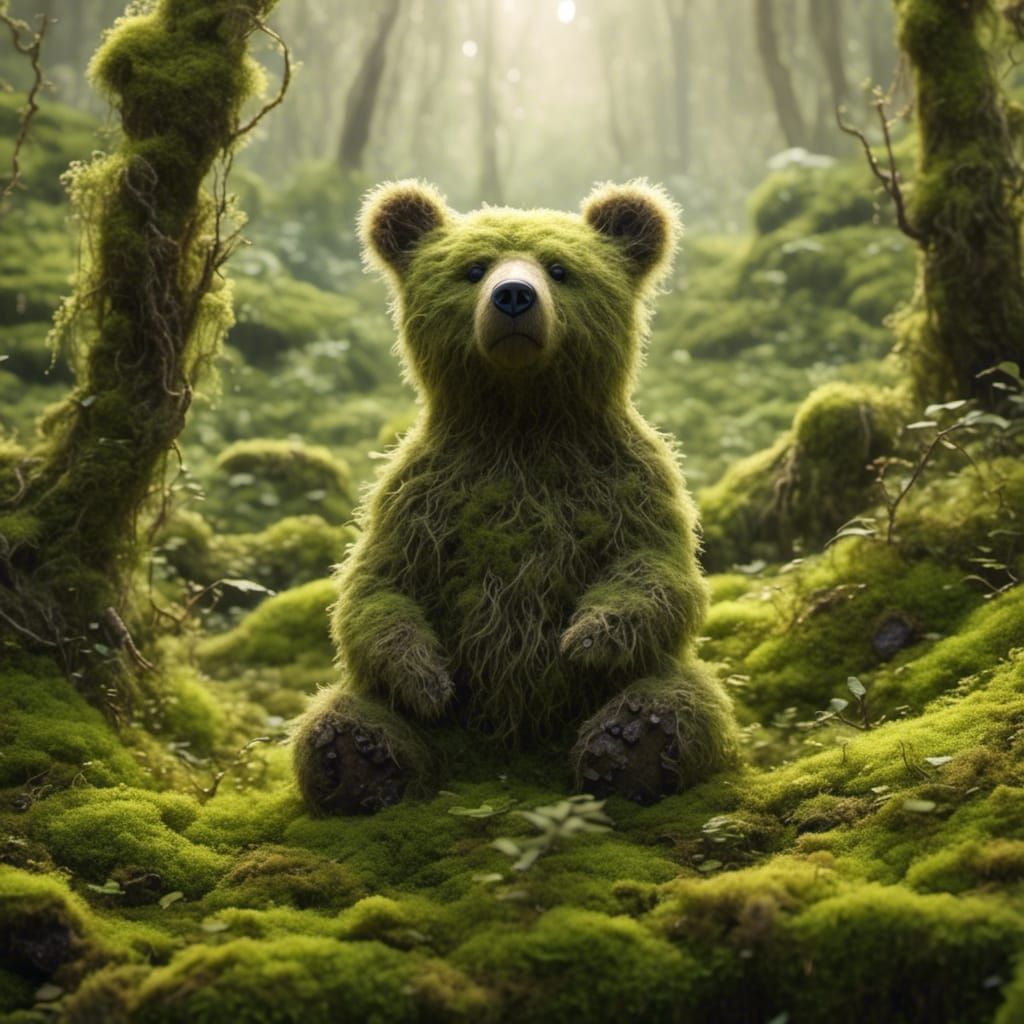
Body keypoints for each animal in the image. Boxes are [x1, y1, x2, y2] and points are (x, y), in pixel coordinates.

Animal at [292, 180, 738, 814]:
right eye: (474, 269)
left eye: (560, 268)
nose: (513, 296)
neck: (521, 419)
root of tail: (506, 760)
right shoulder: (420, 492)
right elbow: (377, 589)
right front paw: (427, 679)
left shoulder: (626, 480)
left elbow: (658, 572)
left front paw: (586, 639)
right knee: (344, 711)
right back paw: (358, 758)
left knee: (688, 696)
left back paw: (633, 743)